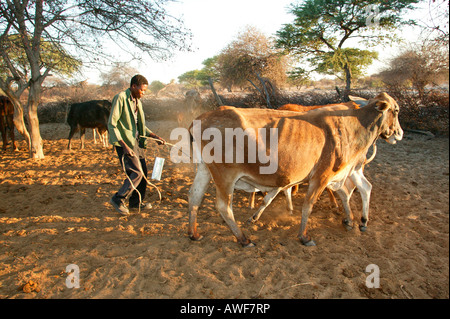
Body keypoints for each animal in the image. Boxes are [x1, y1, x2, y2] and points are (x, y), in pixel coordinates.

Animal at [188, 92, 402, 248]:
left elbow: (344, 192)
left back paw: (193, 233)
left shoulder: (339, 174)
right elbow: (309, 204)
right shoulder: (322, 176)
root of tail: (201, 118)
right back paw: (243, 239)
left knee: (195, 196)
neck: (353, 126)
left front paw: (351, 220)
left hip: (204, 169)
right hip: (225, 175)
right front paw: (304, 236)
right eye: (397, 110)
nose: (399, 133)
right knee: (223, 207)